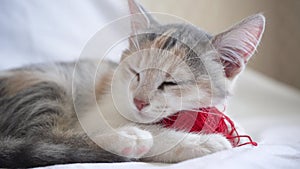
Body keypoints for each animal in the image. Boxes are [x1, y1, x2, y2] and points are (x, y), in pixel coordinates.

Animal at [0, 0, 264, 167]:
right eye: (135, 72)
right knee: (42, 137)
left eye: (170, 83)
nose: (138, 101)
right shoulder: (93, 116)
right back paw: (126, 139)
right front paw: (200, 142)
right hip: (46, 85)